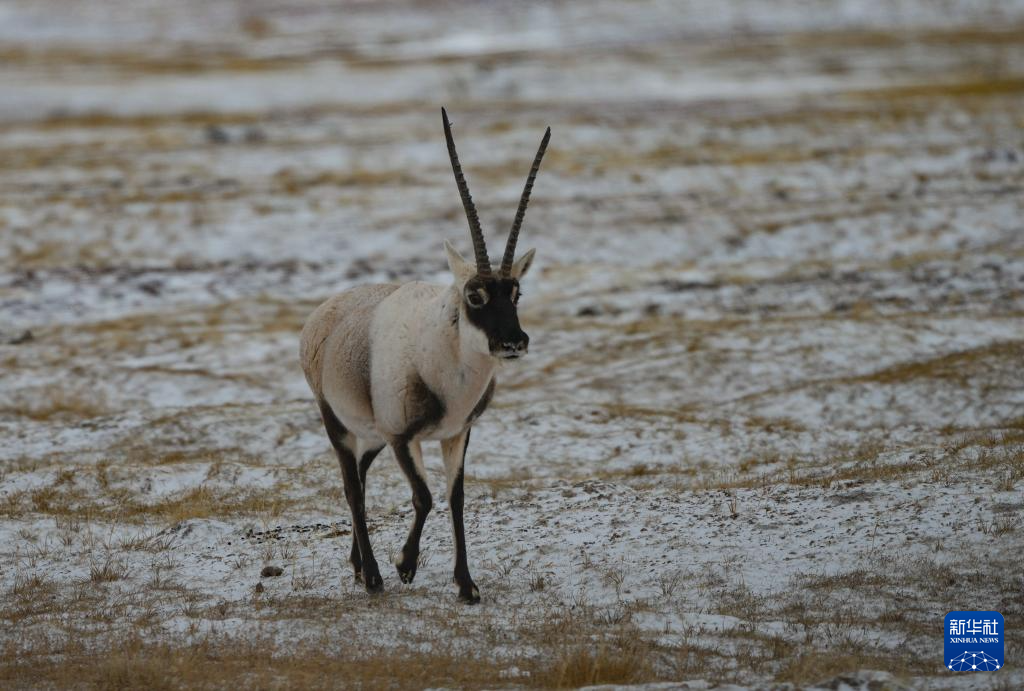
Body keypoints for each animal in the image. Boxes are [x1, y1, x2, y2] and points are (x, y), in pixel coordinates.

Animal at [299, 106, 548, 601]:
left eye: (516, 292)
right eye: (474, 295)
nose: (513, 343)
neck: (443, 355)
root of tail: (321, 317)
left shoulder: (456, 434)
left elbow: (455, 498)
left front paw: (466, 585)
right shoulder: (402, 437)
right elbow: (425, 496)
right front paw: (405, 565)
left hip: (371, 434)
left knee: (361, 476)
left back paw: (358, 565)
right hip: (338, 423)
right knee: (352, 487)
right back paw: (373, 576)